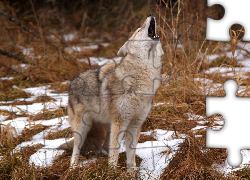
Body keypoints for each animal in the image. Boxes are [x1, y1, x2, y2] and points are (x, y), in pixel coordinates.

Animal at [66, 14, 164, 170]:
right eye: (138, 30)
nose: (150, 14)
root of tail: (73, 80)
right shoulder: (120, 122)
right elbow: (115, 154)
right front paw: (112, 171)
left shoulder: (135, 124)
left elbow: (131, 155)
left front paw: (131, 171)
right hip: (83, 127)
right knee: (76, 148)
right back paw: (73, 166)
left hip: (107, 125)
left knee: (105, 145)